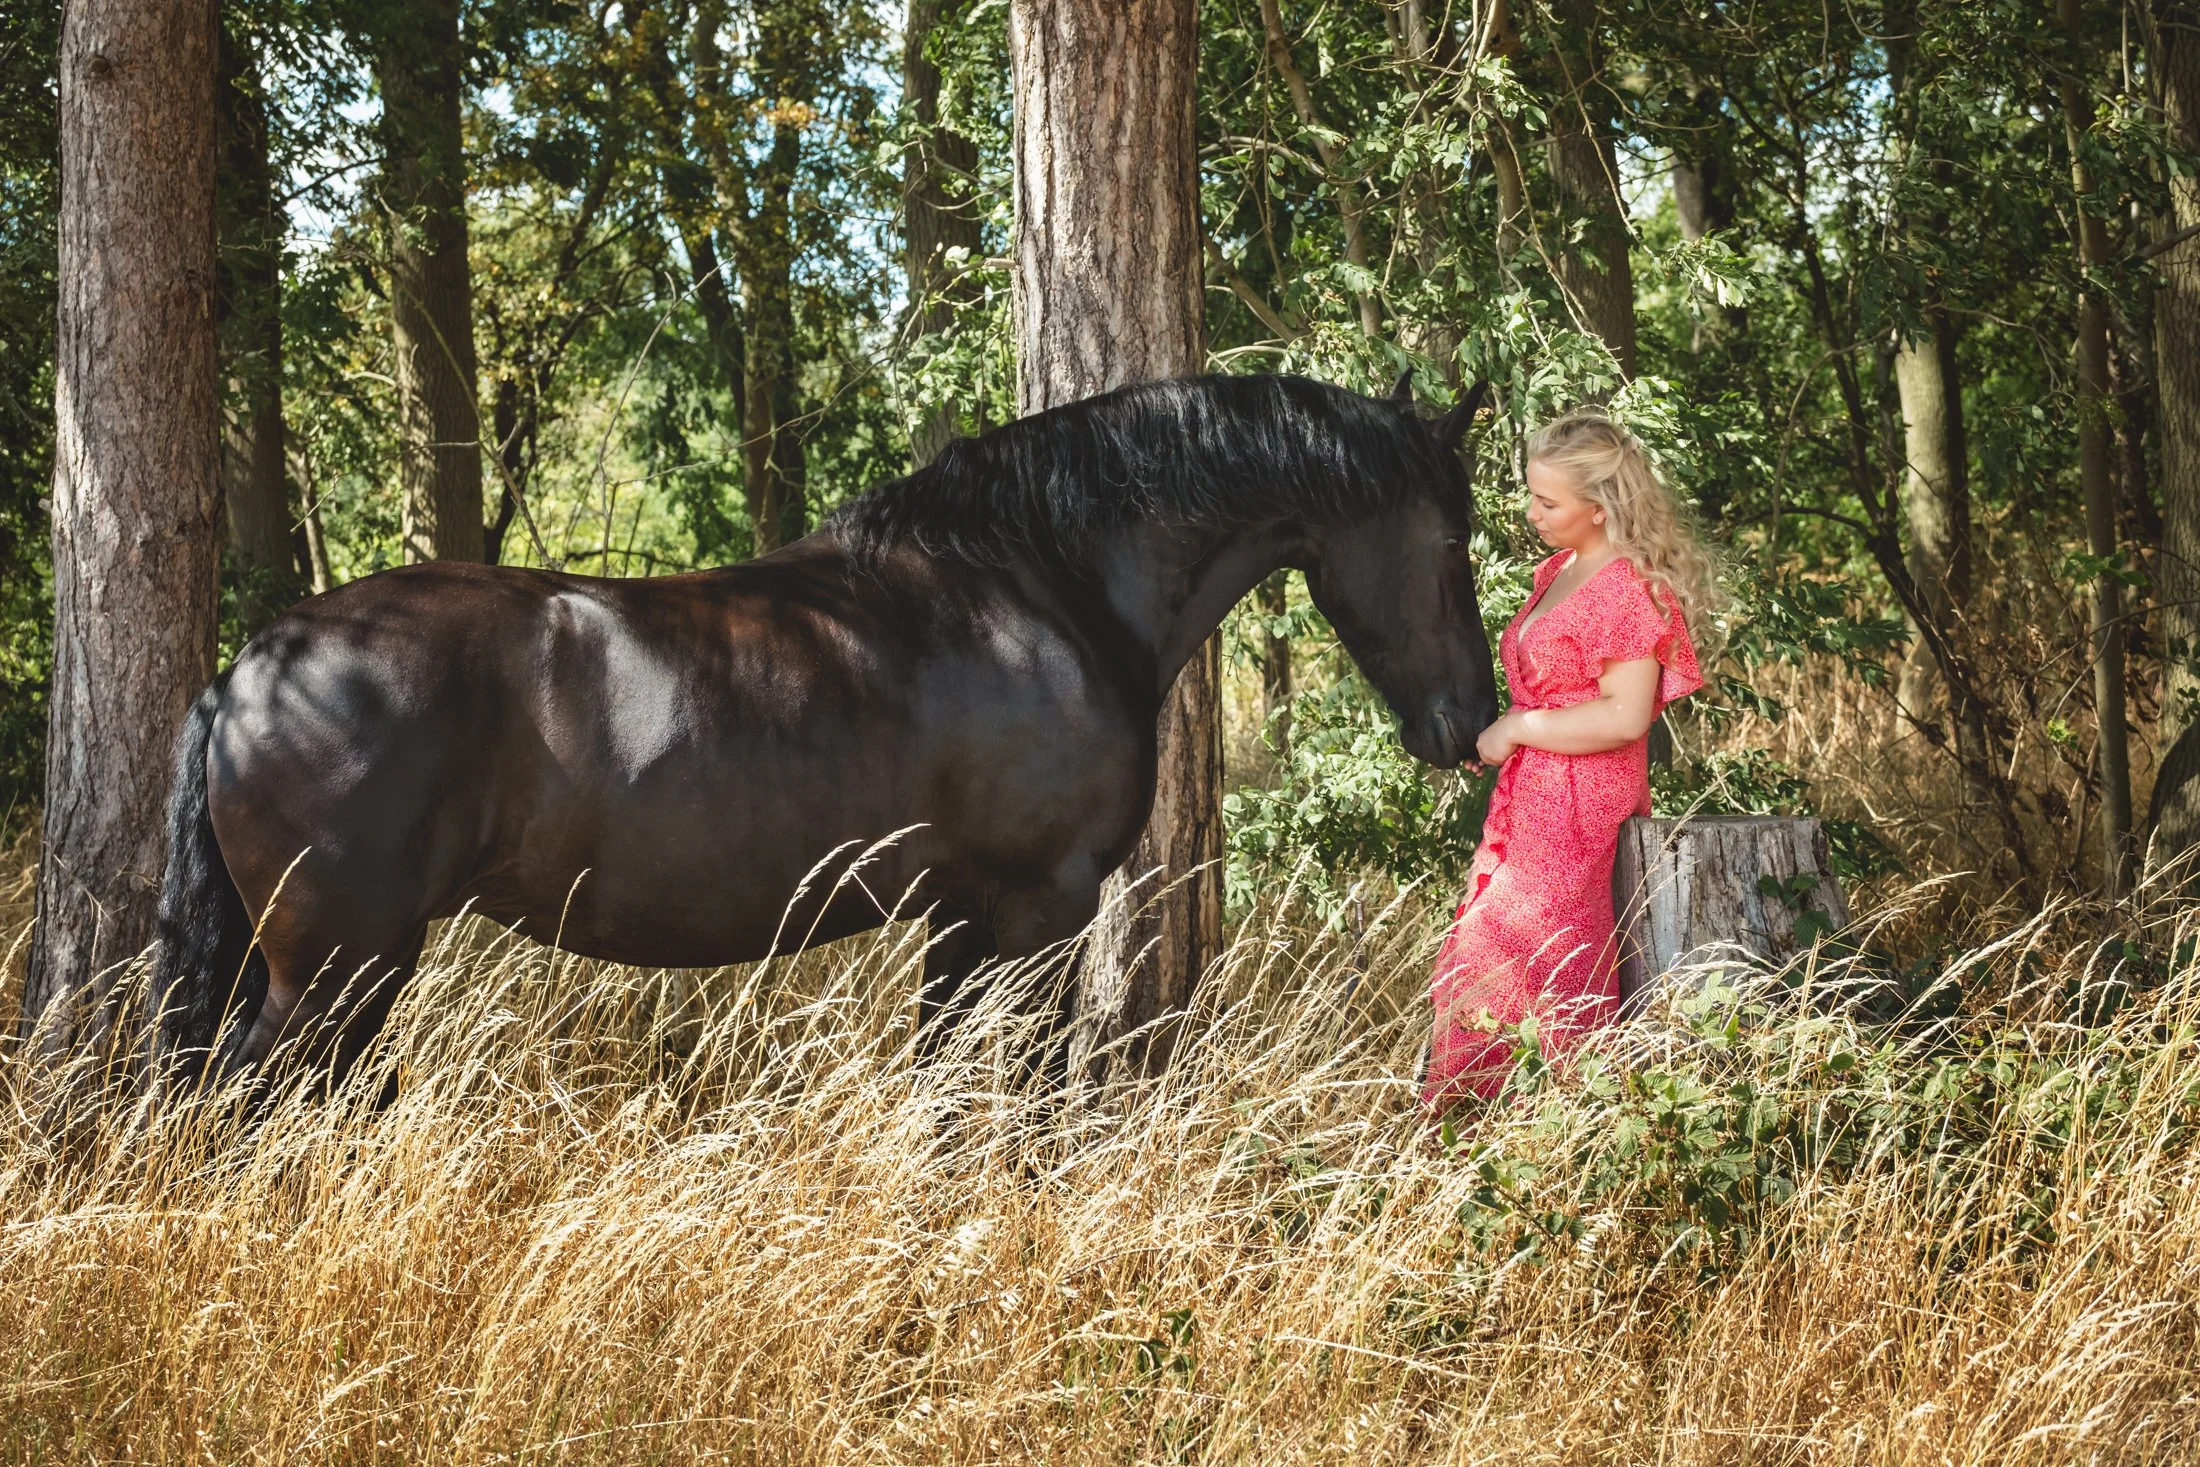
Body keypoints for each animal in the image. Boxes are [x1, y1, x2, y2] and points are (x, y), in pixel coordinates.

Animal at [152, 371, 1500, 1085]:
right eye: (1453, 540)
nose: (1468, 723)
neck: (1040, 586)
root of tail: (252, 672)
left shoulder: (960, 919)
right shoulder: (1042, 911)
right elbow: (1023, 1099)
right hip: (334, 967)